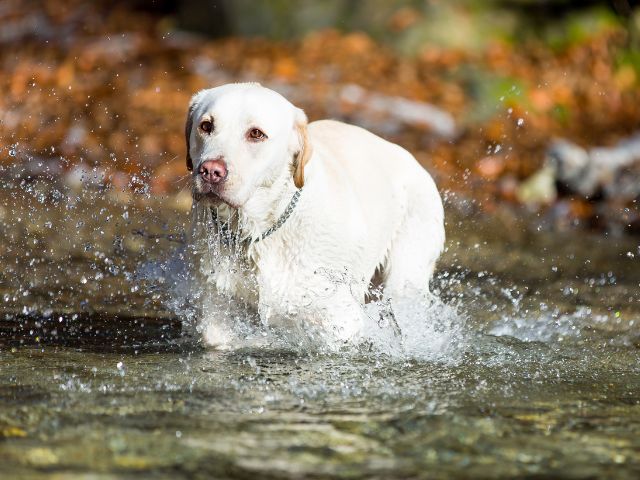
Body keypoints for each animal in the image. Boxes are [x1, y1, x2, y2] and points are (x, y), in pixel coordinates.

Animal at [185, 81, 444, 344]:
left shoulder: (340, 321)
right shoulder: (216, 310)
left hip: (407, 273)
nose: (210, 171)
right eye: (206, 126)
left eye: (256, 133)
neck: (259, 230)